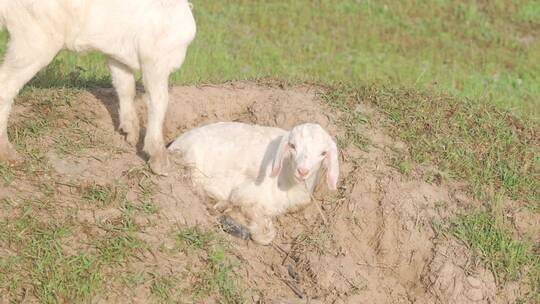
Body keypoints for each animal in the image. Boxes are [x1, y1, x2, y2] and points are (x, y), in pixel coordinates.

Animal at [0, 0, 196, 175]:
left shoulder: (117, 53)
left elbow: (125, 86)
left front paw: (130, 131)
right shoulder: (156, 57)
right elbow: (159, 100)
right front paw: (159, 160)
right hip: (34, 39)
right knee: (6, 85)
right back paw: (8, 154)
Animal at [169, 121, 340, 245]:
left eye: (323, 153)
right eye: (292, 146)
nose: (302, 171)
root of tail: (173, 145)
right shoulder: (245, 193)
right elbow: (263, 235)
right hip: (192, 162)